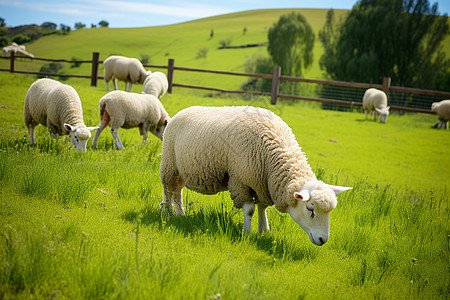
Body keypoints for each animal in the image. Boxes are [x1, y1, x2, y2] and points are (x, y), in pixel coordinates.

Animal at [160, 106, 354, 246]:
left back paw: (181, 213)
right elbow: (250, 210)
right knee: (167, 189)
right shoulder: (241, 181)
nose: (323, 240)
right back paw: (167, 211)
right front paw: (246, 233)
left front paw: (264, 230)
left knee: (177, 191)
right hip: (169, 163)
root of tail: (183, 111)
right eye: (310, 209)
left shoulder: (261, 182)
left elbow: (262, 207)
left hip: (182, 169)